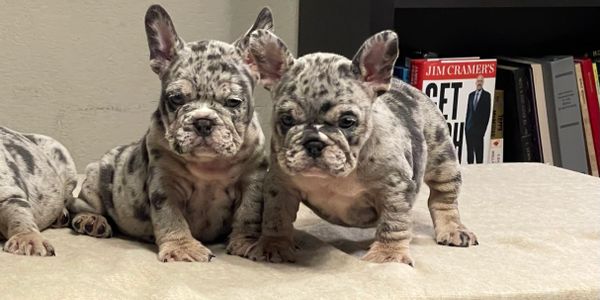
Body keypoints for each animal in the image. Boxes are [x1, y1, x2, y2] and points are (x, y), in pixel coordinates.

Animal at [68, 5, 272, 262]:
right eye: (176, 99)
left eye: (233, 102)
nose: (203, 122)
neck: (210, 165)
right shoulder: (165, 183)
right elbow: (170, 216)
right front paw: (182, 248)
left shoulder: (252, 179)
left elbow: (249, 212)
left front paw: (247, 242)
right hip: (97, 179)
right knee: (82, 205)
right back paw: (92, 220)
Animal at [243, 29, 478, 264]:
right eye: (286, 120)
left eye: (347, 121)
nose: (314, 143)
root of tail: (409, 87)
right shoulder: (280, 184)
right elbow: (276, 217)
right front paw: (274, 245)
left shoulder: (396, 188)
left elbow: (393, 223)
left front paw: (388, 255)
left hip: (442, 160)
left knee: (443, 197)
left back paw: (453, 229)